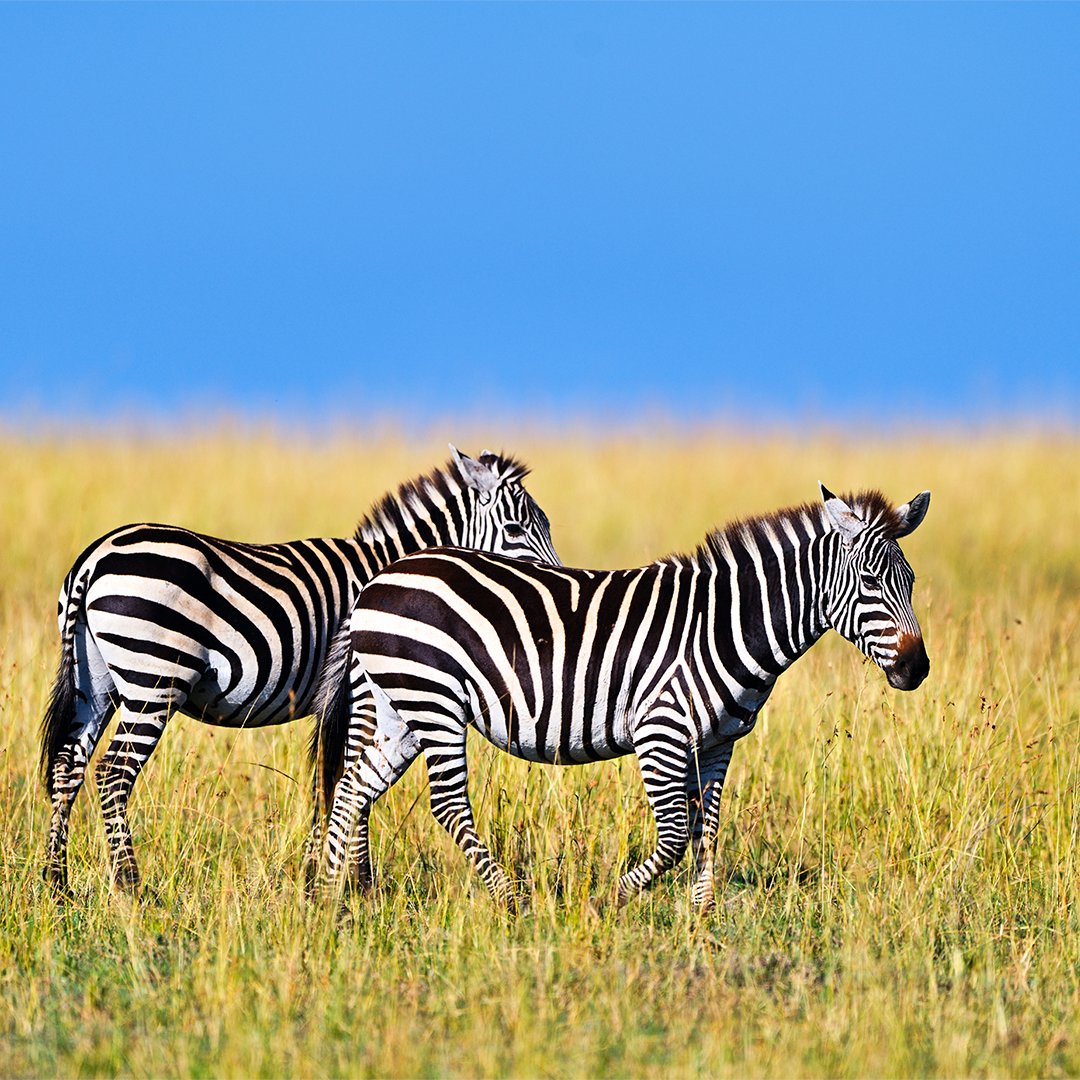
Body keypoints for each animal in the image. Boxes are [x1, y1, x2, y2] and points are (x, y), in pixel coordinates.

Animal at [40, 446, 560, 895]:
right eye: (515, 528)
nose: (553, 581)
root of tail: (95, 556)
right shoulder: (360, 688)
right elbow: (345, 776)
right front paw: (355, 882)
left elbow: (331, 779)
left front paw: (325, 876)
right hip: (154, 681)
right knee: (113, 774)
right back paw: (131, 887)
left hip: (96, 684)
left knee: (68, 767)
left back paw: (57, 884)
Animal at [316, 483, 930, 909]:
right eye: (870, 582)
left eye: (913, 582)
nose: (917, 669)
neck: (726, 623)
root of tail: (380, 577)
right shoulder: (661, 732)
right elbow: (676, 838)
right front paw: (603, 903)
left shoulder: (718, 744)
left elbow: (707, 833)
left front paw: (703, 921)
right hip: (434, 700)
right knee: (446, 804)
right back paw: (513, 902)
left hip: (399, 707)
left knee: (351, 789)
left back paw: (330, 903)